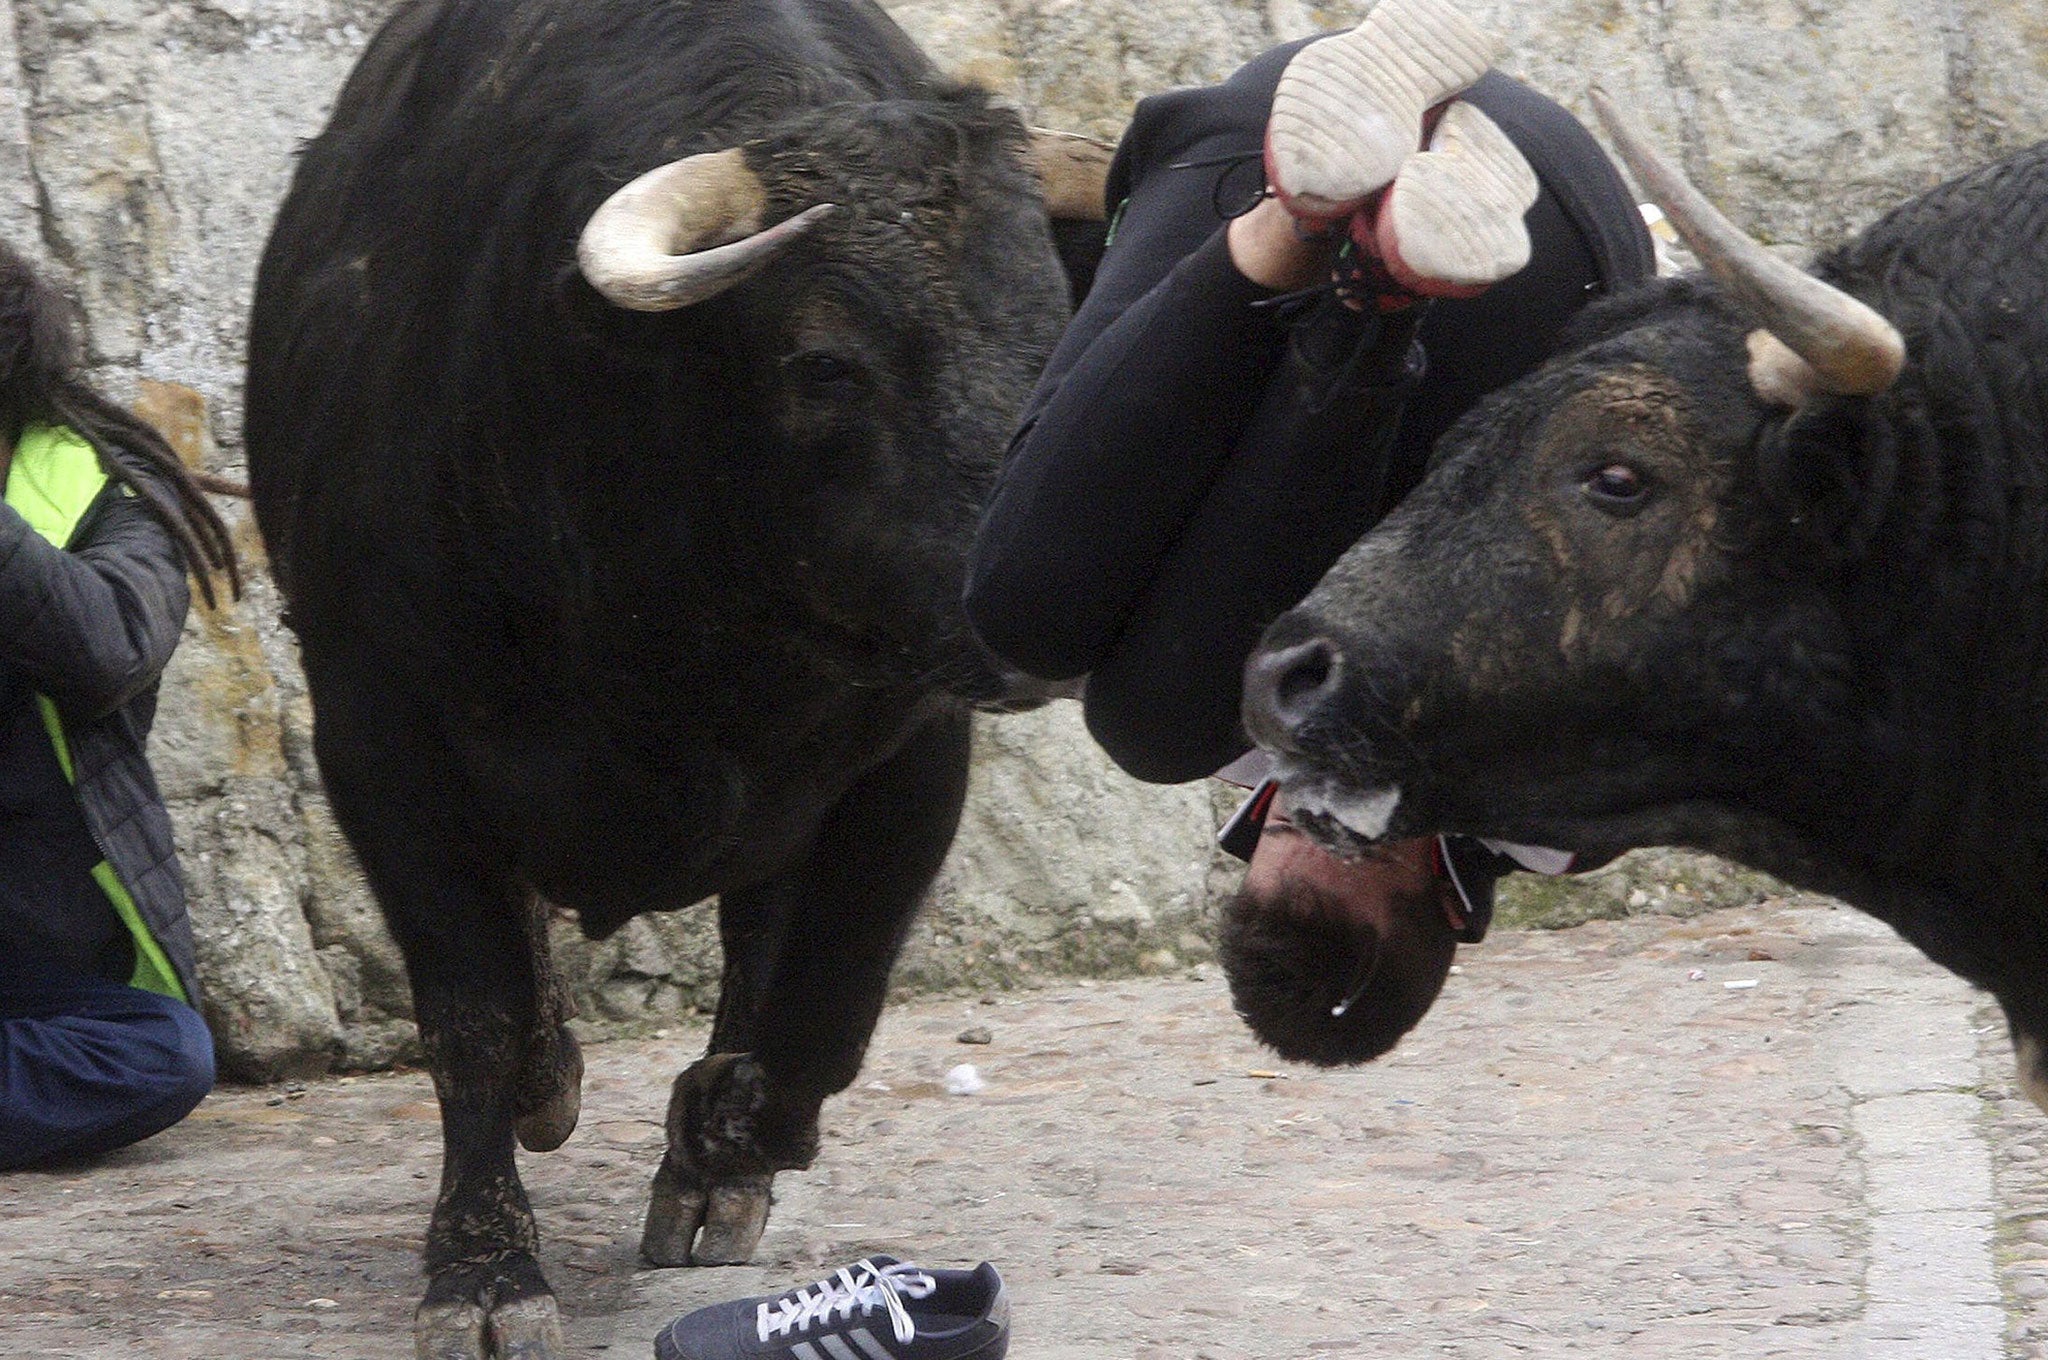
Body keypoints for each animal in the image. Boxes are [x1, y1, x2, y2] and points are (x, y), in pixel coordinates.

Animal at [247, 5, 1114, 1351]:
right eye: (825, 363)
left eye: (1056, 332)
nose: (1032, 609)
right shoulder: (380, 735)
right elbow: (471, 1015)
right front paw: (483, 1272)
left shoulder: (912, 746)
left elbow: (828, 999)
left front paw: (720, 1135)